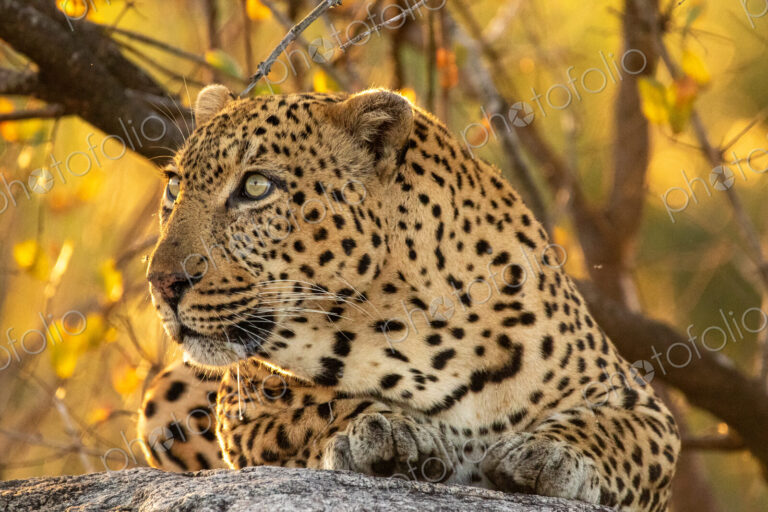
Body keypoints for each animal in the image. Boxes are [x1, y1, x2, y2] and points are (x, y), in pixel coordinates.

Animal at [136, 84, 680, 511]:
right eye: (175, 187)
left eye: (255, 186)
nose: (161, 282)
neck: (418, 324)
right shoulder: (247, 399)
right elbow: (315, 403)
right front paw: (384, 428)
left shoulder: (638, 402)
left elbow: (616, 432)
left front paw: (550, 454)